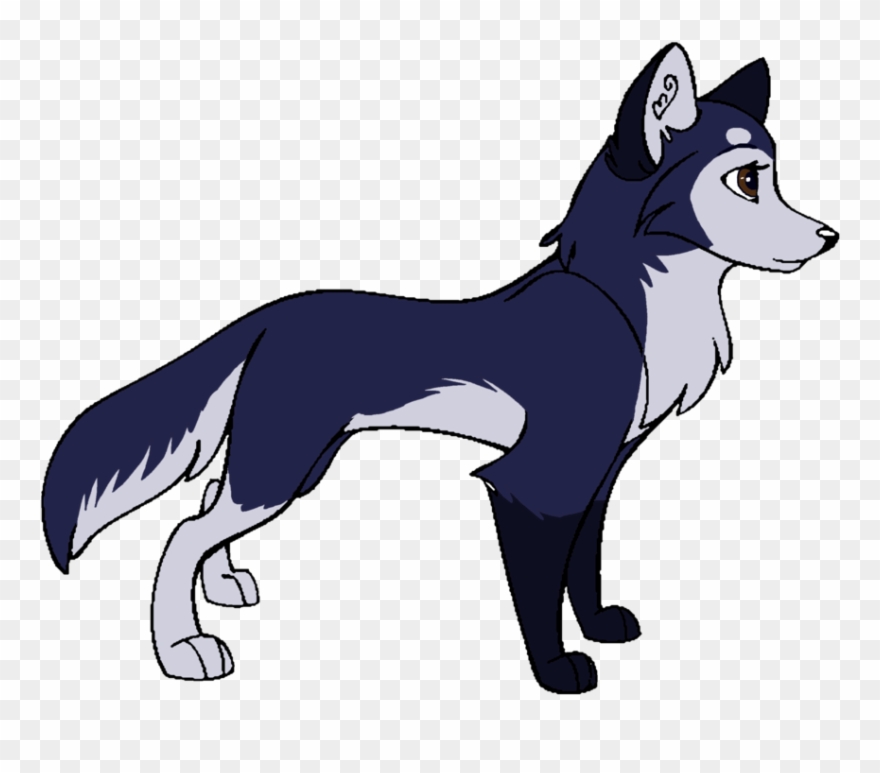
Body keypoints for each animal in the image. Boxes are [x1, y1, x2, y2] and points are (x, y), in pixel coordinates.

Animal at [42, 43, 838, 693]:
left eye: (773, 178)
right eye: (747, 180)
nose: (830, 237)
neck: (623, 303)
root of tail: (270, 314)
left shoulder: (599, 476)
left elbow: (584, 571)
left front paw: (601, 627)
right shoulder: (535, 483)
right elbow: (540, 593)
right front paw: (557, 673)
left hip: (295, 460)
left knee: (207, 501)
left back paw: (226, 582)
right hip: (285, 462)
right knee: (184, 529)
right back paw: (183, 648)